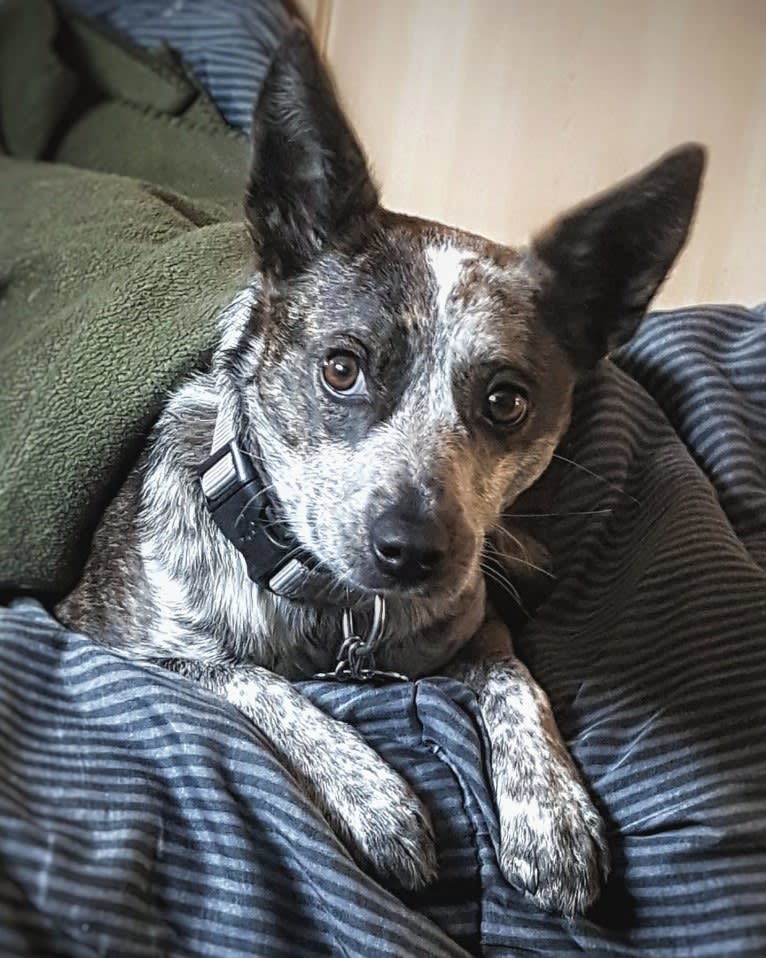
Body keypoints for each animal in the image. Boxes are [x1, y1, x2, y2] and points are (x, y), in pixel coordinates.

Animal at [57, 26, 704, 920]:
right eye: (341, 369)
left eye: (507, 400)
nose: (413, 551)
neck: (334, 611)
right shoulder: (114, 637)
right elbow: (250, 680)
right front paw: (378, 798)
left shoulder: (472, 626)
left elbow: (516, 679)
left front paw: (552, 813)